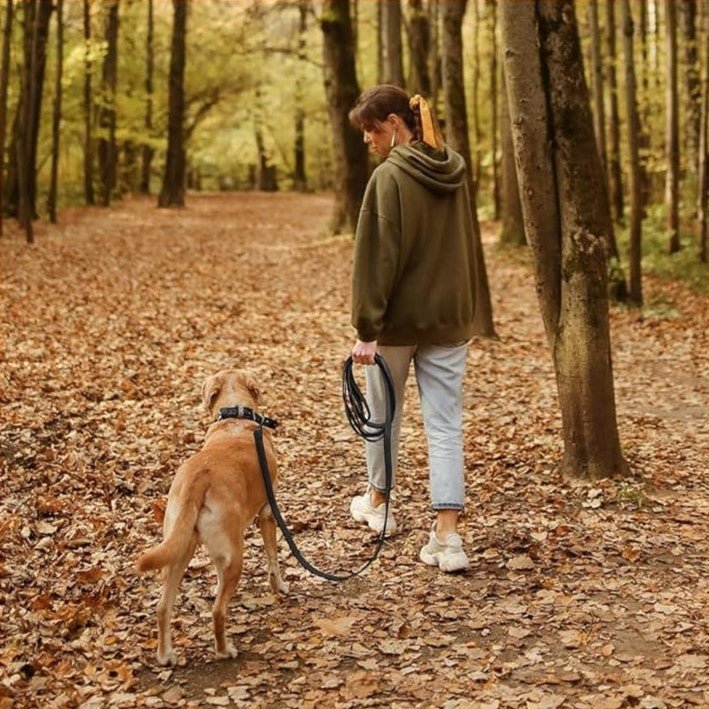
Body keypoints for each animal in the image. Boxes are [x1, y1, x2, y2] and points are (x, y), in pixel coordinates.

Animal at [137, 370, 286, 664]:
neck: (236, 416)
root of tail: (200, 477)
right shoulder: (267, 514)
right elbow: (273, 560)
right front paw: (279, 587)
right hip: (233, 556)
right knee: (217, 611)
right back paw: (224, 650)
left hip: (179, 552)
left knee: (162, 607)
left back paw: (166, 655)